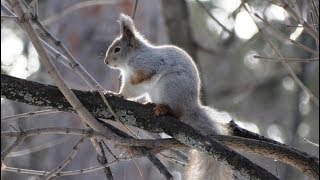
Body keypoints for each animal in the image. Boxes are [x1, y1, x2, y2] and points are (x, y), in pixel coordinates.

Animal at [105, 13, 232, 180]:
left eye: (117, 49)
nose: (106, 61)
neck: (132, 58)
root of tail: (190, 106)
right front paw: (116, 93)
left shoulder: (145, 67)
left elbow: (134, 87)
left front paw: (118, 94)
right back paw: (151, 104)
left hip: (170, 87)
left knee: (176, 113)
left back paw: (164, 109)